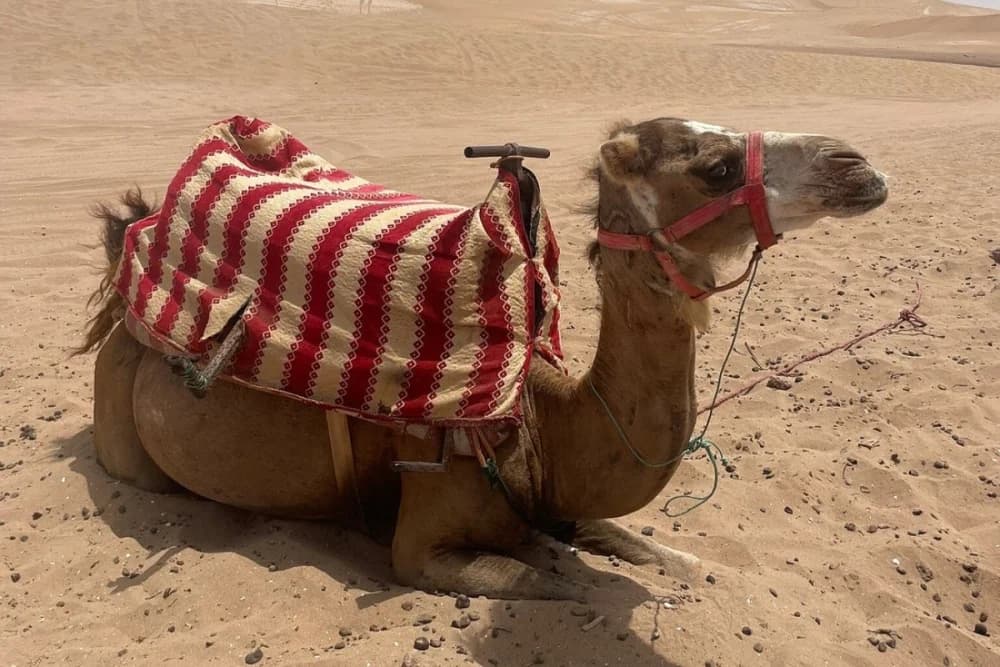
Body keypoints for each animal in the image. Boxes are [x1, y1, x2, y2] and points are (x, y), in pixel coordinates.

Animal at [77, 117, 888, 600]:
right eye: (716, 167)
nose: (859, 166)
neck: (539, 417)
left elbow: (671, 557)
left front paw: (697, 571)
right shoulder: (420, 547)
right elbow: (556, 578)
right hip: (125, 435)